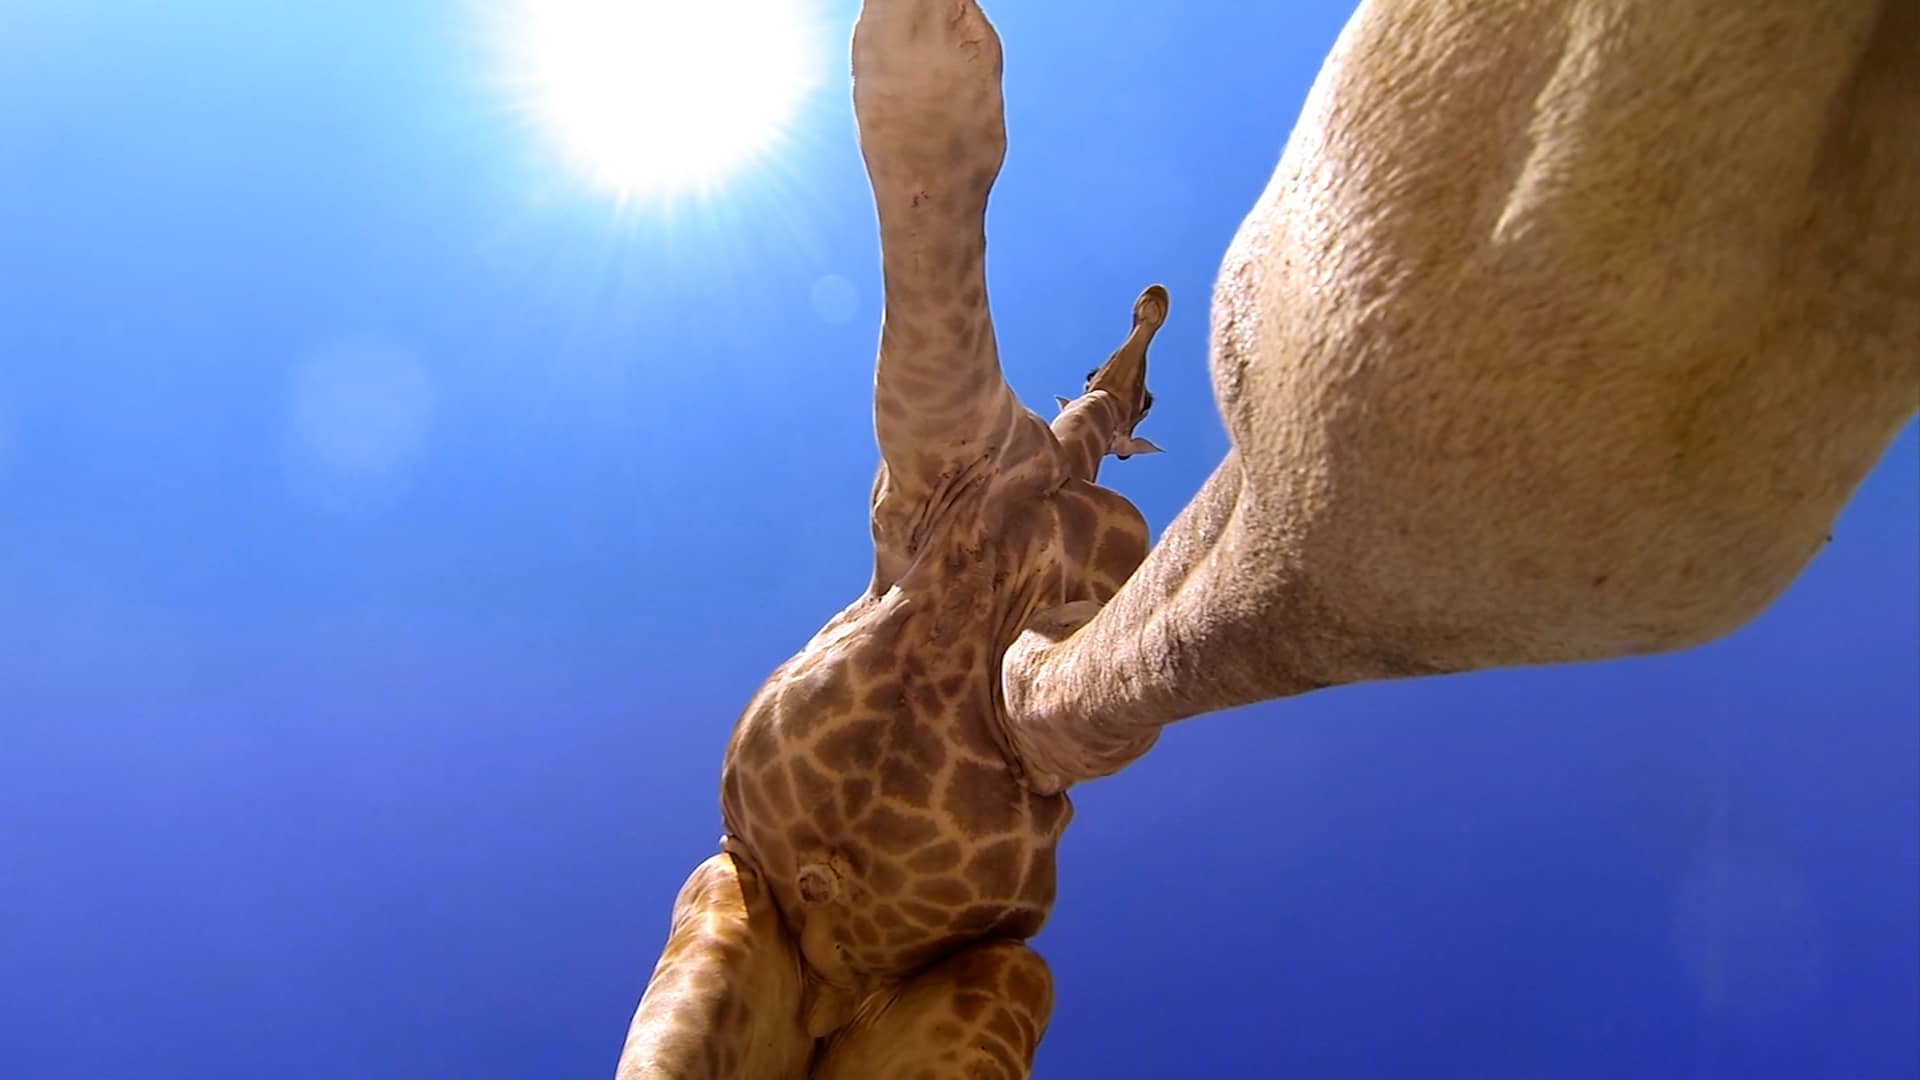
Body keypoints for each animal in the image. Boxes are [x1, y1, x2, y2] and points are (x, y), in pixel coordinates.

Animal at [614, 3, 1165, 1076]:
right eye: (1101, 372)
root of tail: (833, 986)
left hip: (994, 977)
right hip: (729, 896)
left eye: (1148, 397)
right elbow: (932, 233)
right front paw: (931, 46)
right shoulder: (935, 461)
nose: (1155, 301)